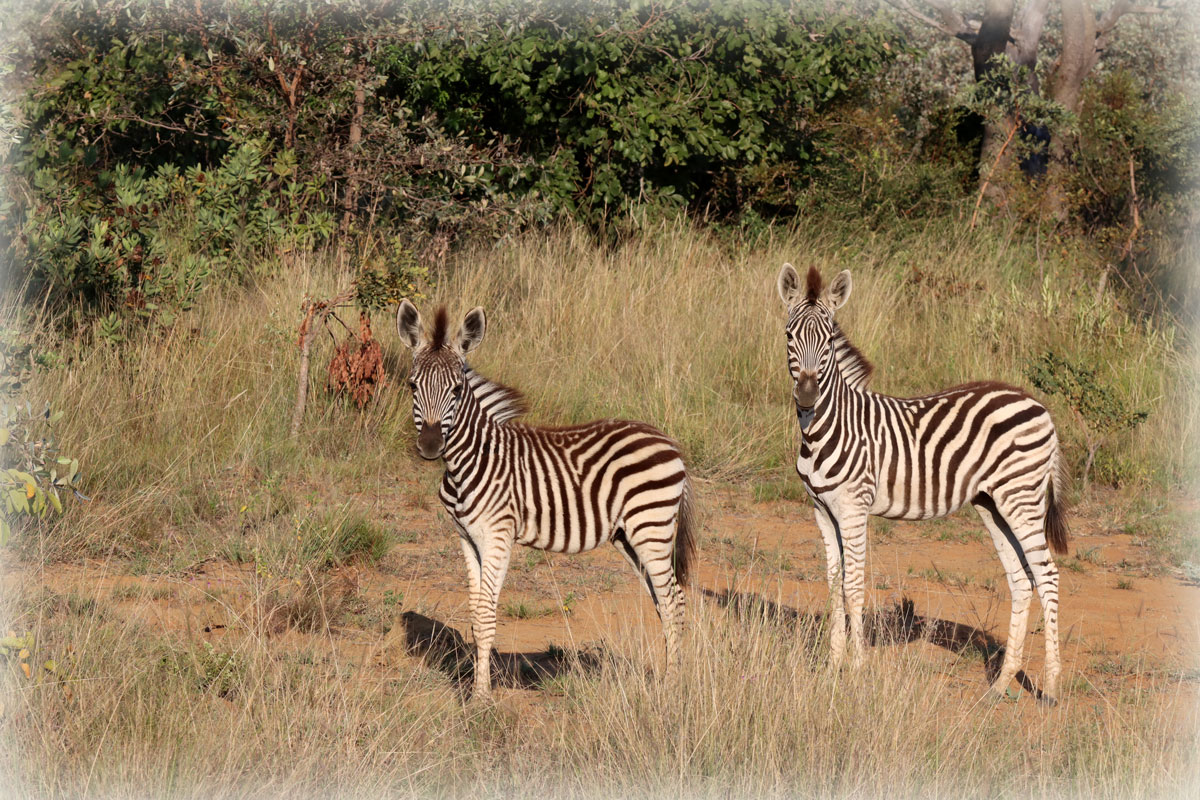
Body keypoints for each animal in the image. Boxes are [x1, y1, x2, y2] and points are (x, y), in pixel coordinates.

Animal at [396, 299, 696, 700]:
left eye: (457, 390)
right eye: (412, 385)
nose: (430, 446)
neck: (470, 461)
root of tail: (668, 441)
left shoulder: (498, 535)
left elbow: (487, 615)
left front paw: (481, 697)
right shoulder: (465, 538)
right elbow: (475, 613)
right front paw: (476, 686)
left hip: (652, 527)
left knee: (673, 600)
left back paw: (673, 687)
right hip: (629, 537)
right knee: (663, 601)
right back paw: (668, 679)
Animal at [777, 263, 1070, 705]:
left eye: (827, 339)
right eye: (790, 336)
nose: (808, 395)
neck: (827, 427)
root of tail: (1037, 404)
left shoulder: (854, 508)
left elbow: (853, 586)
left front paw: (856, 670)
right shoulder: (822, 511)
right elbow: (832, 585)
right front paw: (831, 668)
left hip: (1021, 496)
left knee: (1048, 576)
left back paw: (1050, 687)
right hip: (992, 503)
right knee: (1022, 580)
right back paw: (1001, 683)